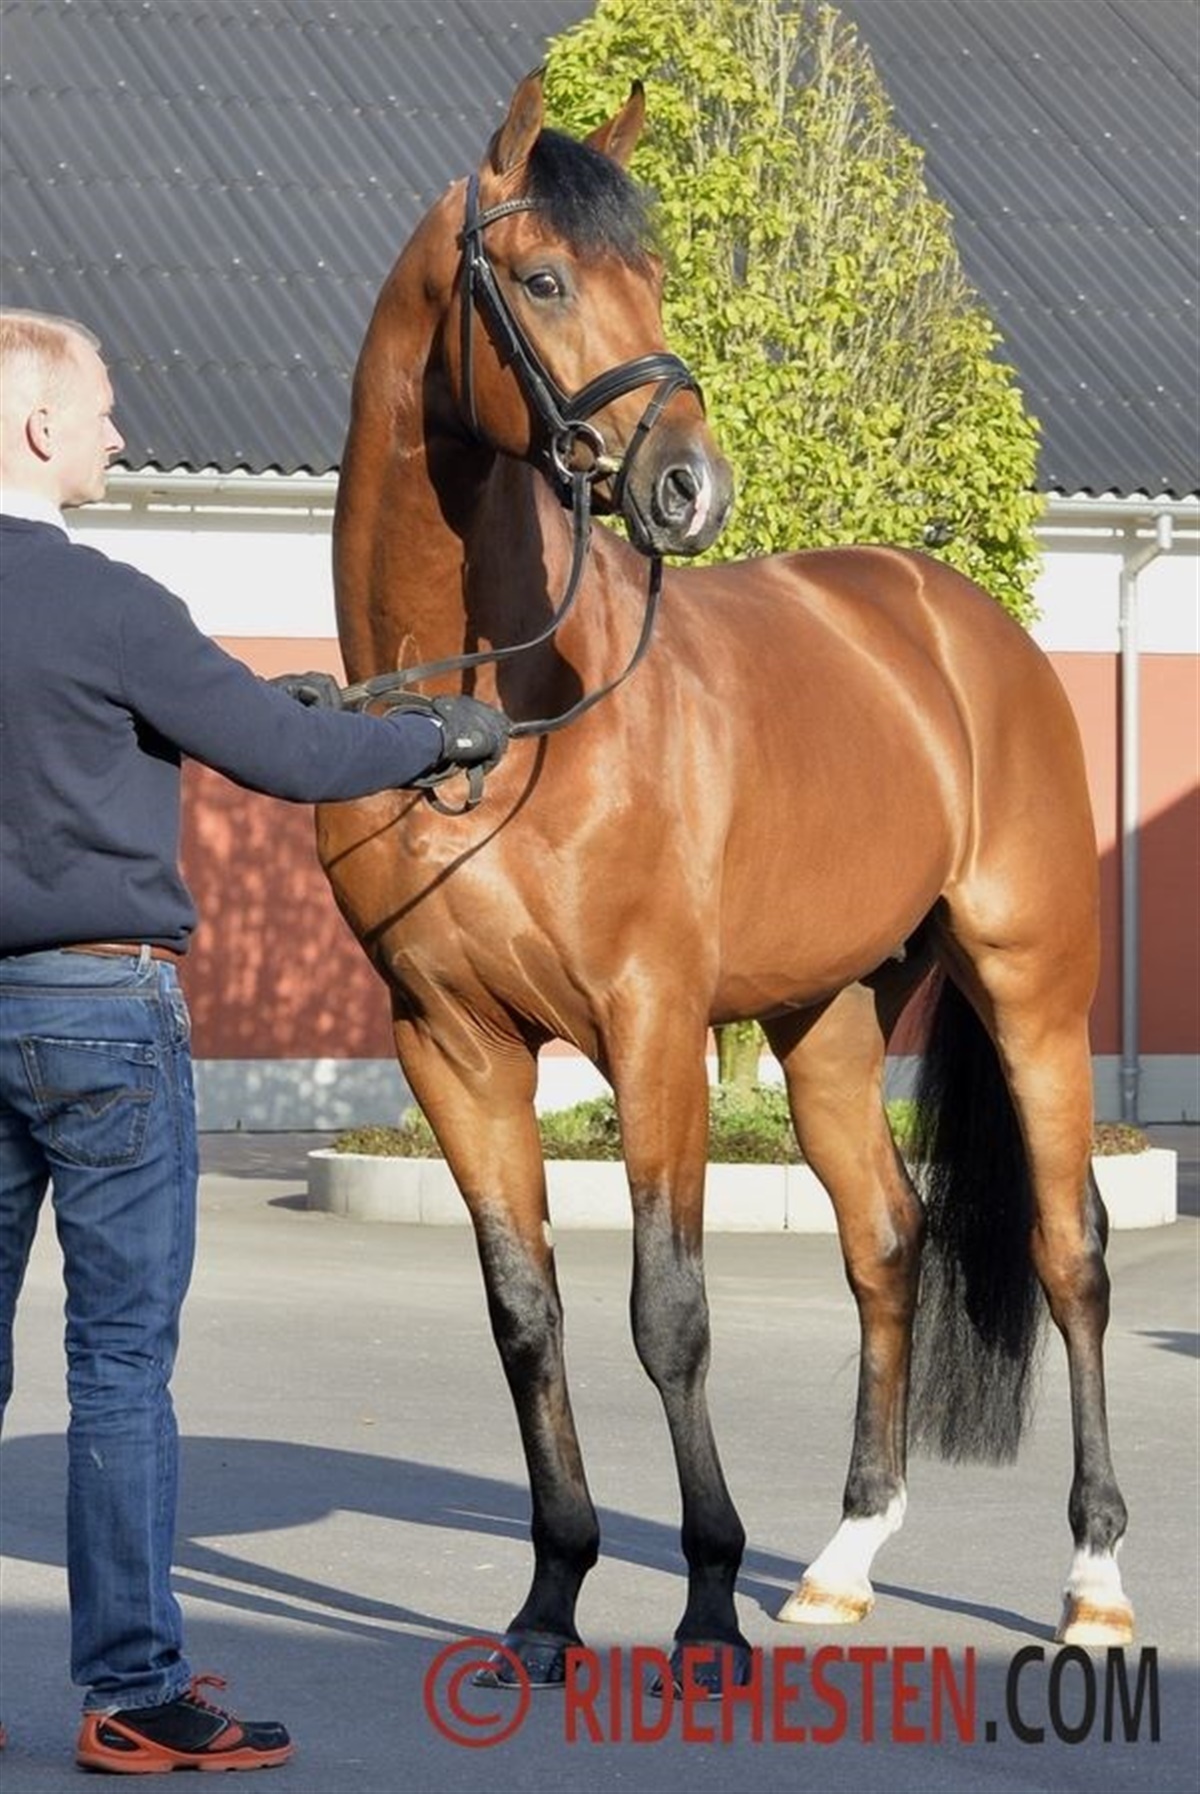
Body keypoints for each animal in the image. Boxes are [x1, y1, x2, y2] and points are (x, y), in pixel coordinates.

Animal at [317, 70, 1133, 1686]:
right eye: (545, 279)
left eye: (656, 274)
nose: (690, 487)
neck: (489, 718)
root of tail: (958, 624)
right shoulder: (452, 1045)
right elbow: (527, 1317)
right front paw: (548, 1604)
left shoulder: (651, 1027)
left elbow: (669, 1314)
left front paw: (701, 1603)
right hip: (828, 1017)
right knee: (886, 1241)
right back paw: (841, 1565)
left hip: (1032, 989)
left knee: (1070, 1251)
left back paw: (1093, 1582)